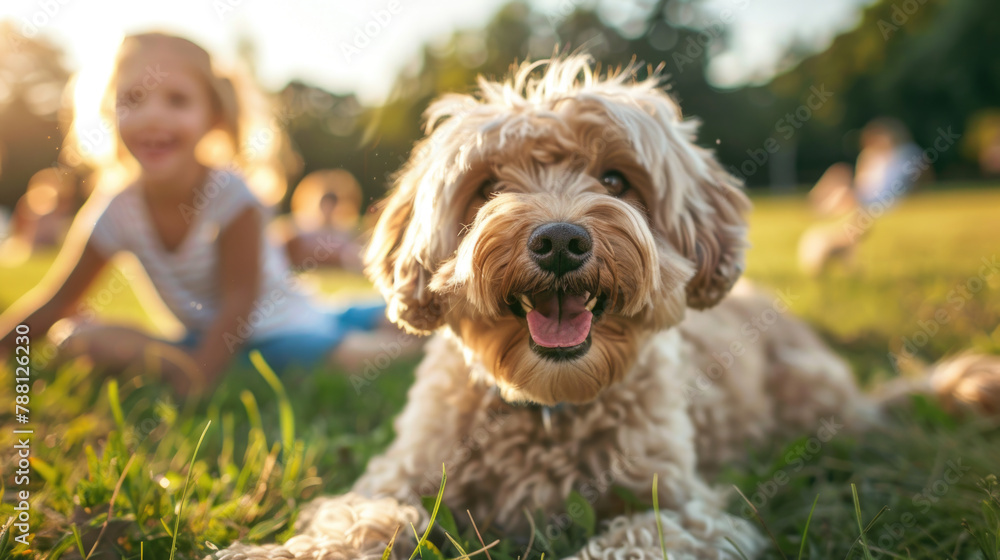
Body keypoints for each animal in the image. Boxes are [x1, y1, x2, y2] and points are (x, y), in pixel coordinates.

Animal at [213, 57, 1000, 560]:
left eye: (617, 180)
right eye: (489, 185)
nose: (561, 240)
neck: (548, 405)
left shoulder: (687, 509)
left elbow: (631, 538)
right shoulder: (400, 474)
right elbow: (360, 520)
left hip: (817, 403)